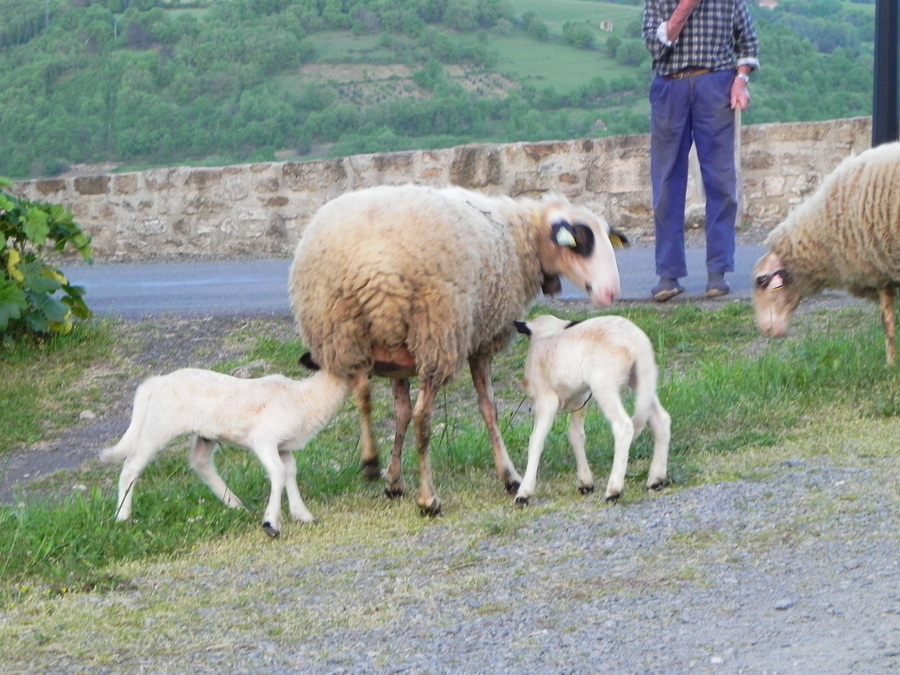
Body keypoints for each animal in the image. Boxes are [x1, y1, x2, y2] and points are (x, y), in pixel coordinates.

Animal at [98, 368, 352, 536]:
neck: (304, 398)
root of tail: (155, 383)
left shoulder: (283, 447)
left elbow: (290, 472)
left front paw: (304, 515)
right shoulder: (264, 440)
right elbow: (278, 473)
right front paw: (271, 524)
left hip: (205, 433)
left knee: (200, 461)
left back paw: (235, 504)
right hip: (160, 425)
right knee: (132, 464)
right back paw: (122, 516)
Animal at [290, 182, 624, 516]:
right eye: (581, 242)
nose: (610, 293)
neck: (521, 237)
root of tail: (374, 268)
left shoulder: (398, 359)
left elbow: (401, 413)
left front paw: (394, 481)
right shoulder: (481, 343)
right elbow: (488, 408)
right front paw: (509, 476)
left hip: (347, 335)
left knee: (363, 394)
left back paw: (371, 460)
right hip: (437, 332)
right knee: (423, 417)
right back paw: (428, 499)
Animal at [510, 314, 672, 504]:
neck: (546, 337)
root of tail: (638, 342)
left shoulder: (546, 400)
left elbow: (536, 440)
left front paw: (524, 493)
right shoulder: (579, 400)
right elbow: (576, 435)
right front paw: (585, 483)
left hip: (604, 384)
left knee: (624, 426)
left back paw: (614, 490)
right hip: (641, 379)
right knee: (660, 419)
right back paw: (656, 480)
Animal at [748, 142, 900, 364]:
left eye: (761, 280)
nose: (766, 330)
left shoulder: (877, 271)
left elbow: (887, 321)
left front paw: (890, 363)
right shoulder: (883, 270)